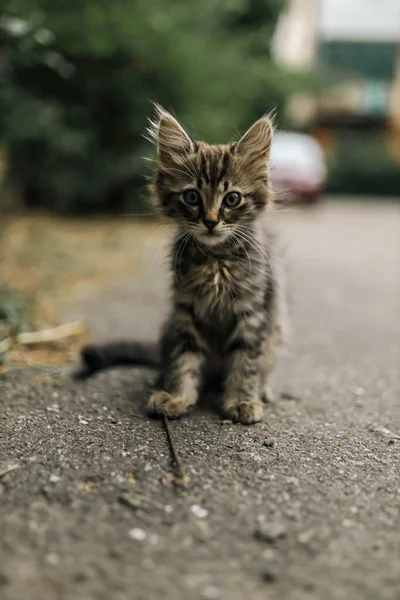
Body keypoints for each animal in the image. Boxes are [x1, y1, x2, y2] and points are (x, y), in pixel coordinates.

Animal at [80, 106, 284, 426]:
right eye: (192, 197)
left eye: (232, 199)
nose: (210, 221)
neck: (215, 260)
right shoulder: (186, 310)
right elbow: (184, 357)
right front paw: (177, 396)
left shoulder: (252, 311)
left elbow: (245, 360)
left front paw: (242, 400)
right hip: (169, 327)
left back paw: (261, 389)